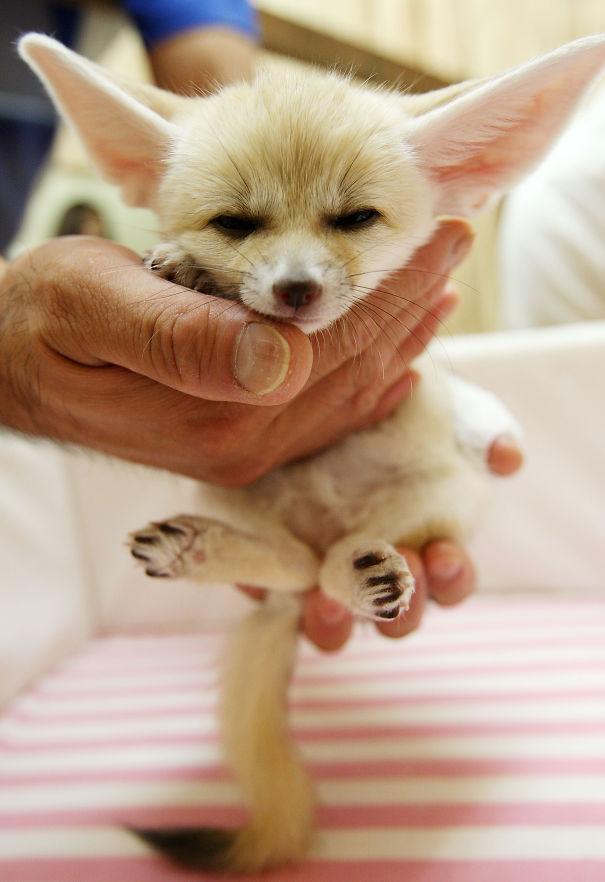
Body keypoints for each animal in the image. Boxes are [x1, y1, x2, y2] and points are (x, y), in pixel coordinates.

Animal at [19, 31, 605, 873]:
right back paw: (200, 549)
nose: (295, 290)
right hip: (231, 497)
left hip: (440, 496)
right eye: (233, 224)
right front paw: (188, 270)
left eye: (355, 217)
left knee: (324, 570)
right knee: (297, 569)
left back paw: (363, 574)